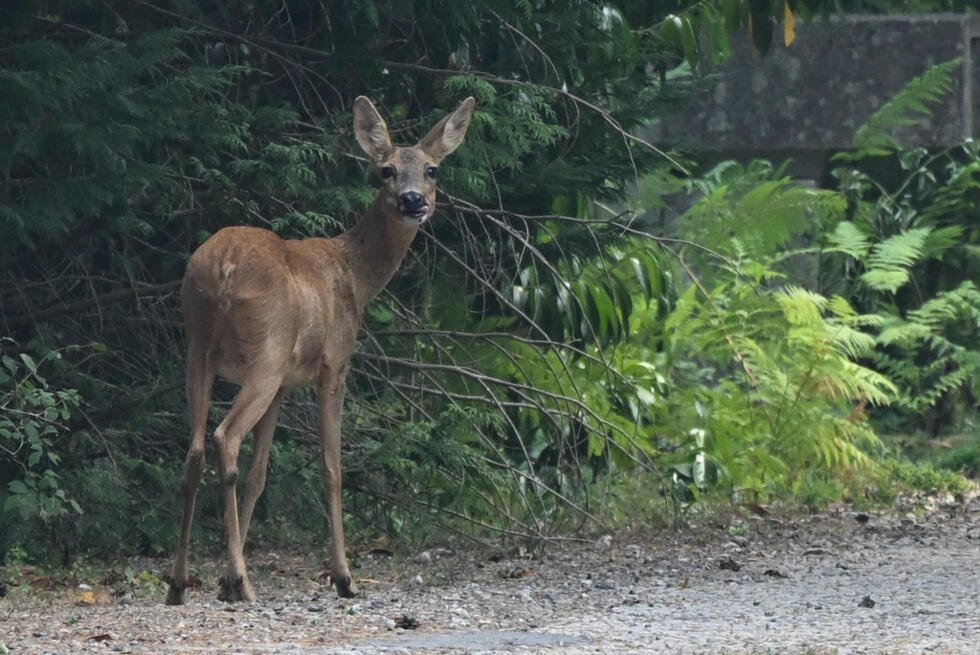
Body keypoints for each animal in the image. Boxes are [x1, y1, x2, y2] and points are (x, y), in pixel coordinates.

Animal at [164, 95, 476, 605]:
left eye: (431, 169)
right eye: (386, 170)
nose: (414, 201)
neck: (355, 277)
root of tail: (224, 268)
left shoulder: (285, 386)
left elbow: (260, 474)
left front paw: (225, 577)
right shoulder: (334, 363)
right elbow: (332, 467)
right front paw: (344, 576)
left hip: (198, 343)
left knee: (194, 450)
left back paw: (180, 583)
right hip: (266, 352)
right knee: (223, 437)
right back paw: (244, 583)